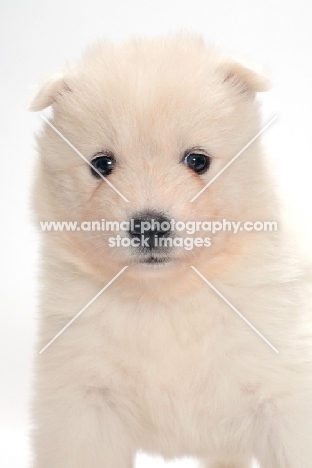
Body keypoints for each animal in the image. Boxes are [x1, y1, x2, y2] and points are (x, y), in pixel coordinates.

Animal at [29, 34, 312, 466]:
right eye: (102, 165)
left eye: (197, 160)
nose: (149, 225)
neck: (166, 295)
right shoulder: (85, 402)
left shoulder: (283, 395)